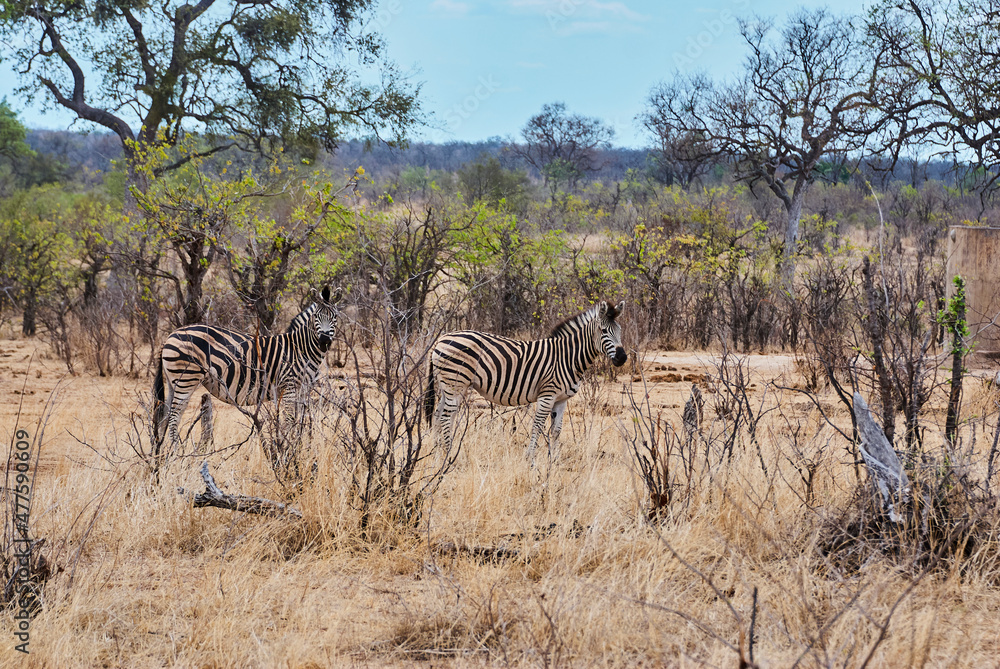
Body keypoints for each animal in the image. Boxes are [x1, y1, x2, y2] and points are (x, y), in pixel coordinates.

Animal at [152, 286, 340, 454]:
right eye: (316, 317)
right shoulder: (290, 385)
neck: (299, 348)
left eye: (335, 317)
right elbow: (289, 419)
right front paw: (288, 449)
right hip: (186, 379)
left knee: (164, 416)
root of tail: (170, 336)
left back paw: (162, 457)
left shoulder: (302, 389)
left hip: (174, 382)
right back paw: (176, 454)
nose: (324, 340)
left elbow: (300, 419)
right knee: (174, 417)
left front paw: (300, 448)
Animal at [424, 300, 627, 464]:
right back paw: (448, 456)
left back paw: (436, 455)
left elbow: (556, 430)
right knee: (445, 417)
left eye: (620, 331)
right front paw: (530, 459)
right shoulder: (547, 395)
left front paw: (554, 460)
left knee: (438, 415)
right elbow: (537, 425)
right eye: (603, 331)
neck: (568, 358)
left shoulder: (562, 399)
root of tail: (441, 338)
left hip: (450, 386)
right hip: (455, 383)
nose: (622, 358)